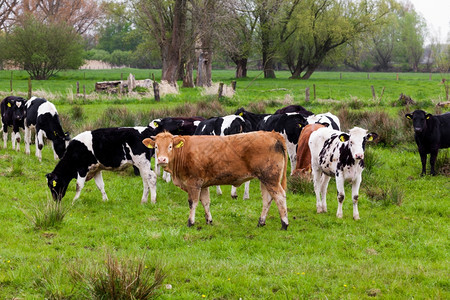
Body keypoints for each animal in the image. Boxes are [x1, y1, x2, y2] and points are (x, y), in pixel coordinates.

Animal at [143, 131, 288, 230]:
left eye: (170, 146)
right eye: (156, 147)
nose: (162, 159)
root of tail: (272, 134)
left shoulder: (193, 183)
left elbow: (193, 203)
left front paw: (190, 222)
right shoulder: (203, 185)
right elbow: (206, 202)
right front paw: (209, 221)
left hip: (271, 178)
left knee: (280, 196)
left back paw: (284, 224)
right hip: (265, 179)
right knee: (267, 199)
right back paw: (261, 222)